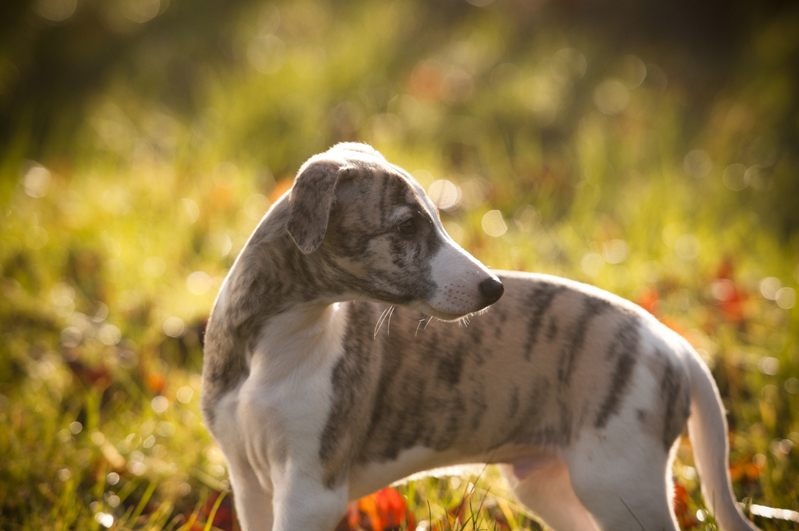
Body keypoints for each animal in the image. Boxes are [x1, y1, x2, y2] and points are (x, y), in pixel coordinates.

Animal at [200, 143, 759, 531]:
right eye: (407, 227)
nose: (494, 289)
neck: (275, 348)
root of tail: (673, 342)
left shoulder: (312, 488)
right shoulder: (249, 484)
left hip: (623, 480)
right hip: (551, 484)